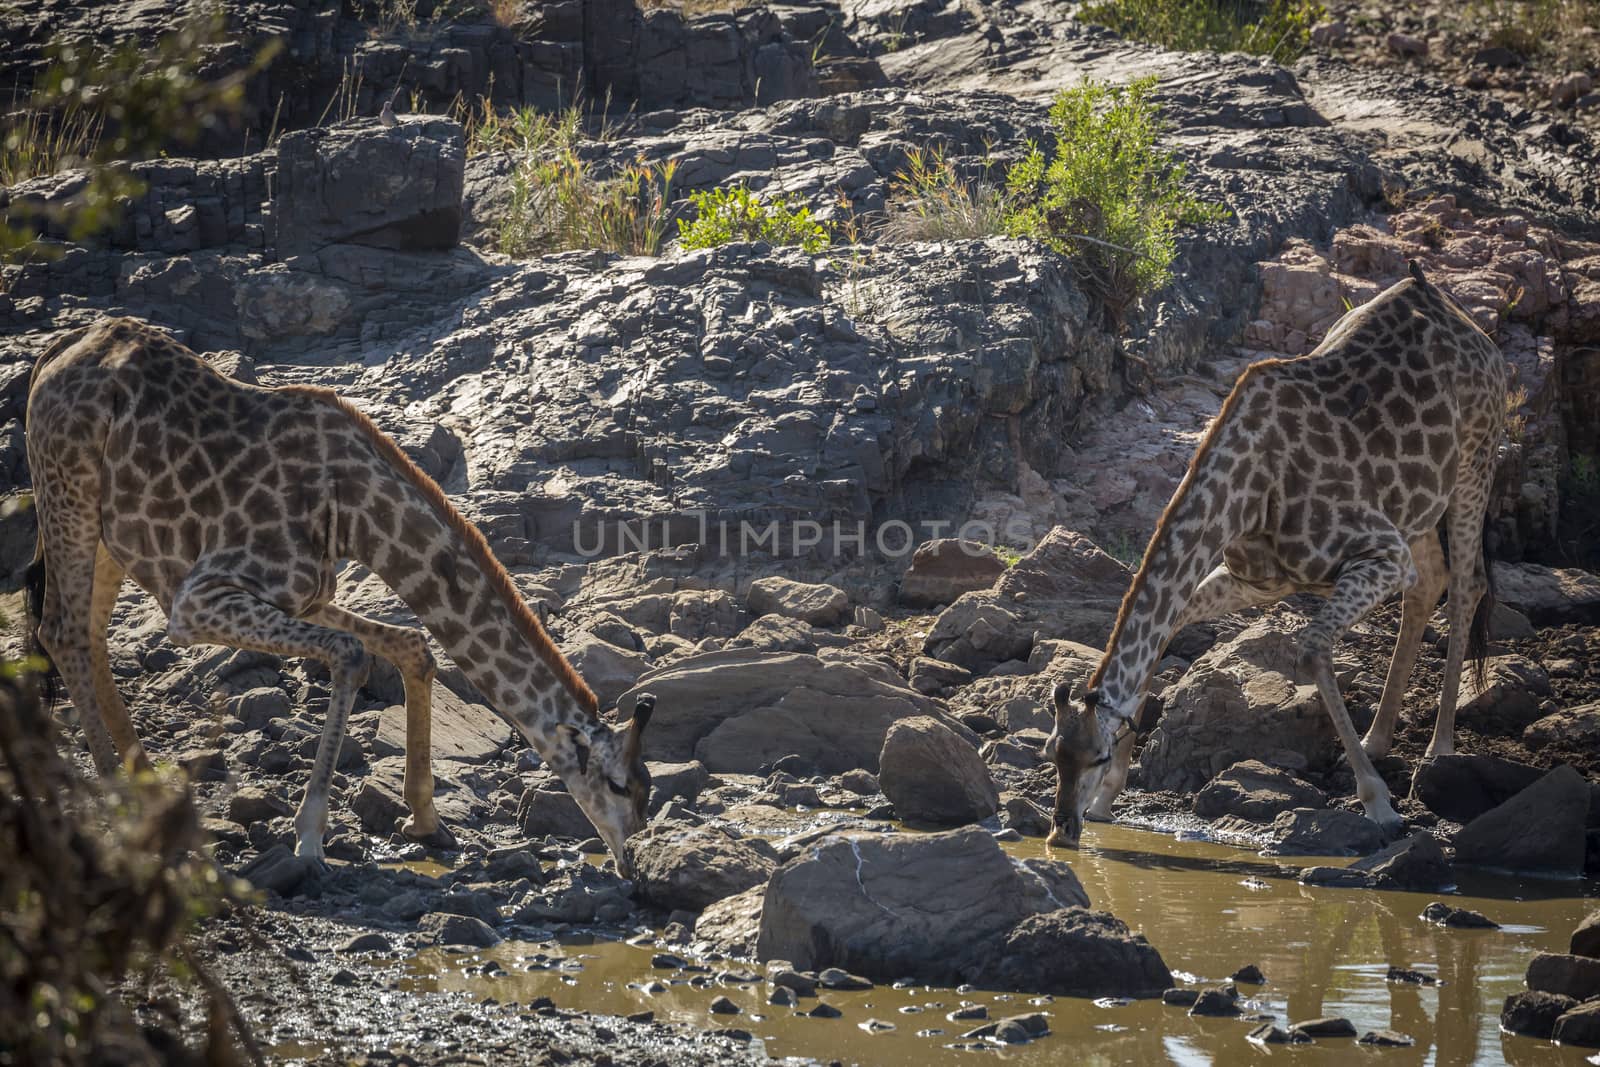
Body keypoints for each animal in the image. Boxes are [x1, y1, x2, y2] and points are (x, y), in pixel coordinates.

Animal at [23, 321, 656, 870]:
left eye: (647, 788)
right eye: (619, 785)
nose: (632, 861)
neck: (353, 514)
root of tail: (57, 351)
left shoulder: (305, 594)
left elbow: (412, 645)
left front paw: (427, 821)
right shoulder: (197, 600)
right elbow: (351, 656)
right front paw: (309, 840)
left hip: (110, 531)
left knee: (90, 635)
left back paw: (145, 792)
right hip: (68, 489)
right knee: (61, 632)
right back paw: (116, 805)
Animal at [1043, 262, 1504, 844]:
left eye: (1097, 757)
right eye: (1052, 754)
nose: (1061, 832)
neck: (1245, 492)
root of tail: (1468, 324)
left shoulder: (1380, 554)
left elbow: (1310, 650)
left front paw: (1379, 804)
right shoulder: (1258, 579)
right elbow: (1169, 627)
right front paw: (1109, 798)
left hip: (1475, 459)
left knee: (1466, 586)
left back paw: (1438, 750)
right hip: (1418, 501)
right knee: (1431, 583)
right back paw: (1377, 741)